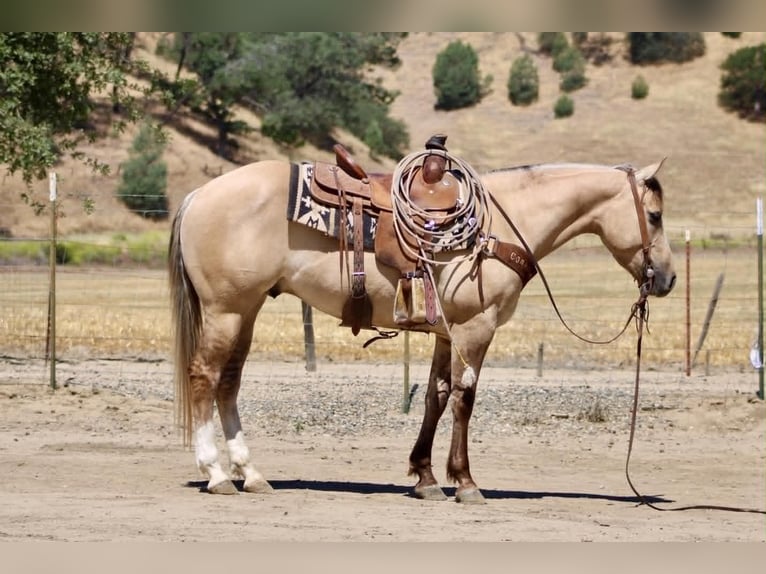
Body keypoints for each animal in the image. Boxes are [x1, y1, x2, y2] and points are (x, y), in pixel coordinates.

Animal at [168, 158, 676, 503]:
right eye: (654, 216)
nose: (668, 279)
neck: (499, 224)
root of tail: (198, 196)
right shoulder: (476, 327)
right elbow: (465, 399)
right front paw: (465, 482)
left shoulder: (447, 333)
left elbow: (436, 394)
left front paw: (425, 477)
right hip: (226, 310)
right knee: (204, 377)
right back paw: (217, 474)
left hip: (246, 310)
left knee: (229, 383)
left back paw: (250, 474)